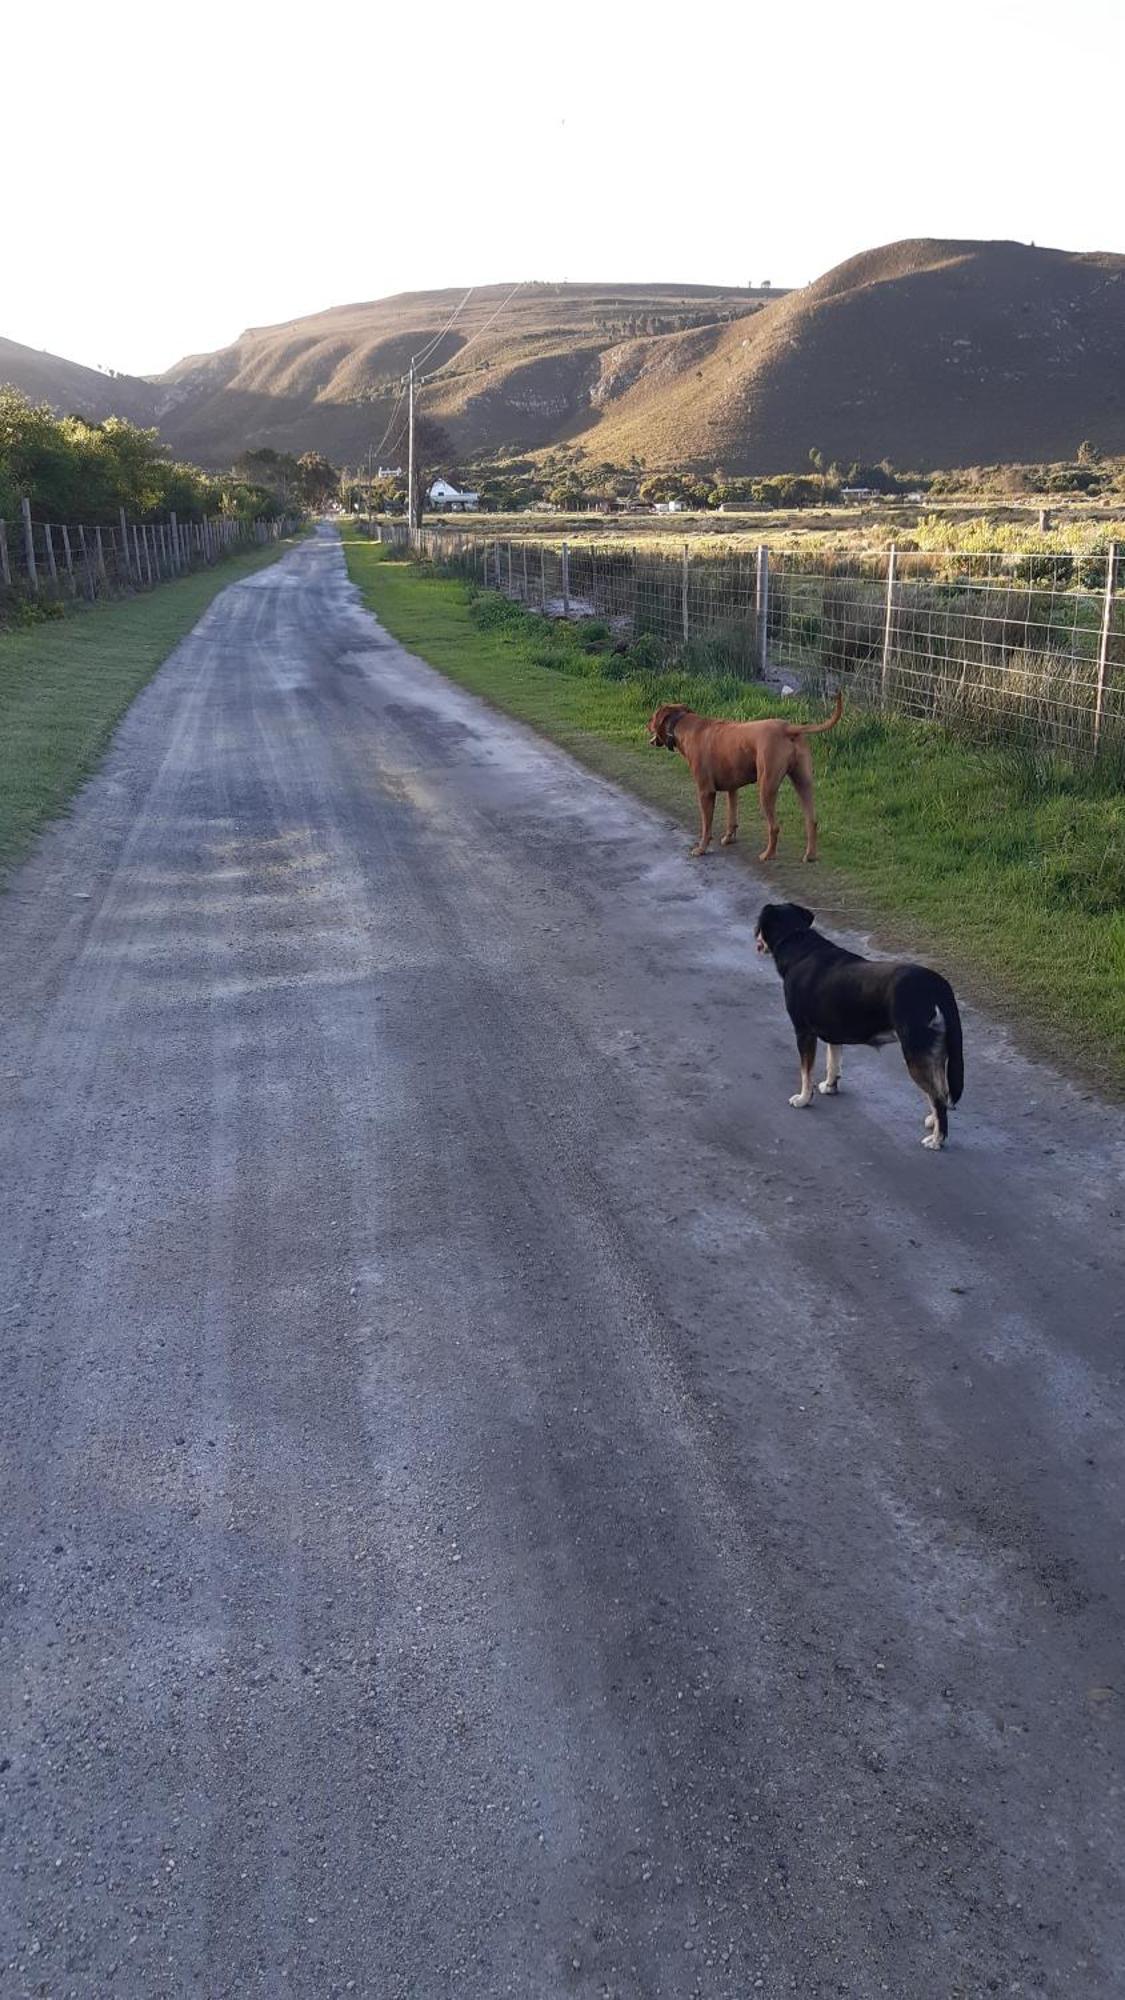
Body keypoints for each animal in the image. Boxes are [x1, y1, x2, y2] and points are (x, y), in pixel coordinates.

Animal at [644, 696, 836, 860]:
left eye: (652, 717)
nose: (646, 724)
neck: (683, 725)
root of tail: (788, 727)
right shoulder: (732, 787)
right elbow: (732, 816)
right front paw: (729, 838)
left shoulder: (705, 792)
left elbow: (706, 825)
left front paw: (702, 848)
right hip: (803, 782)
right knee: (812, 820)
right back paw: (810, 855)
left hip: (766, 787)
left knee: (774, 827)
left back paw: (768, 855)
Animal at [748, 904, 960, 1152]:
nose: (755, 936)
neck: (797, 944)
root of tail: (938, 986)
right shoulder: (833, 1032)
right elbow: (833, 1062)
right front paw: (830, 1086)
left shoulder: (804, 1032)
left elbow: (805, 1072)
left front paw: (803, 1098)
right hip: (934, 1051)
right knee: (941, 1090)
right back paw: (933, 1121)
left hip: (916, 1052)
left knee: (938, 1097)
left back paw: (937, 1139)